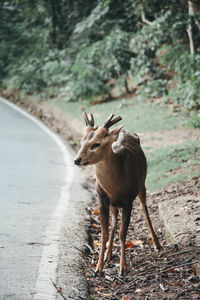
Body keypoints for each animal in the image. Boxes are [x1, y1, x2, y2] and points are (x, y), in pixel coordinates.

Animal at [74, 113, 161, 276]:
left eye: (96, 144)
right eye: (82, 141)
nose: (77, 160)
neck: (116, 186)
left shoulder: (128, 200)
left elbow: (123, 233)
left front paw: (123, 268)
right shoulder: (102, 199)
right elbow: (104, 233)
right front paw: (98, 268)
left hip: (141, 184)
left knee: (144, 209)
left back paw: (157, 244)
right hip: (113, 204)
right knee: (114, 222)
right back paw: (108, 256)